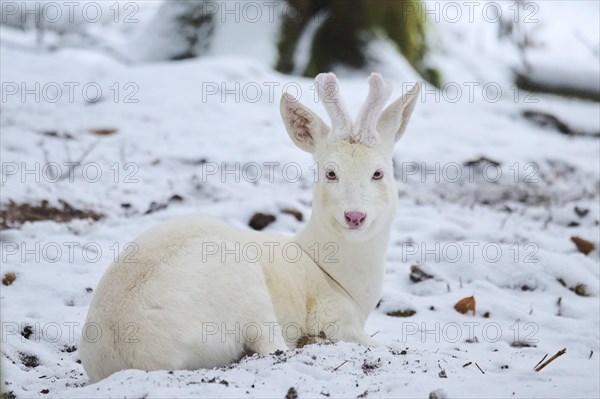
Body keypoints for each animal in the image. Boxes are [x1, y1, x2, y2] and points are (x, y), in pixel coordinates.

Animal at [77, 73, 420, 382]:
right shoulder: (334, 314)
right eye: (330, 173)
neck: (331, 272)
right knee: (271, 346)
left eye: (378, 173)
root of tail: (130, 356)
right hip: (245, 290)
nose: (355, 216)